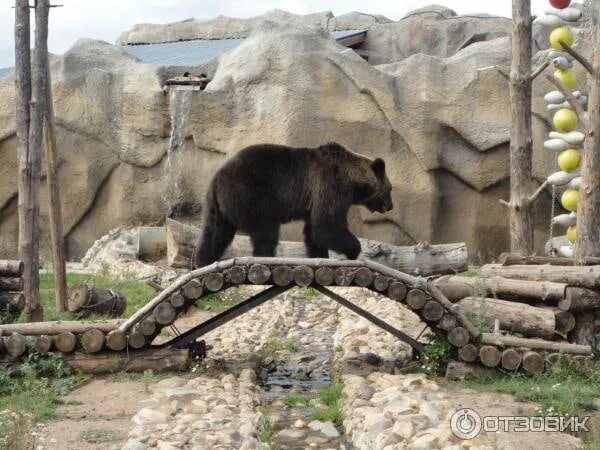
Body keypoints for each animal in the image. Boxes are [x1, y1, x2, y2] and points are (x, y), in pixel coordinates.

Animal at [193, 142, 394, 268]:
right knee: (265, 232)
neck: (353, 180)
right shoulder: (331, 185)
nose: (391, 206)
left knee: (214, 234)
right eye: (390, 189)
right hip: (251, 194)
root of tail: (218, 178)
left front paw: (319, 255)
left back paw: (203, 261)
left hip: (217, 205)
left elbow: (314, 231)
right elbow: (327, 225)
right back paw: (266, 256)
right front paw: (354, 250)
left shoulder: (315, 198)